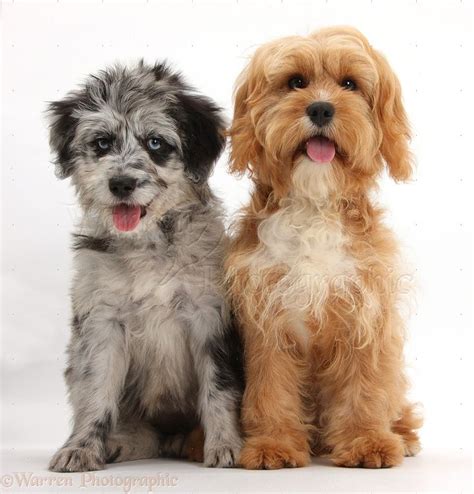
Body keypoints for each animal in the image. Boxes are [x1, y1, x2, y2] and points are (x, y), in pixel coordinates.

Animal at [46, 60, 243, 470]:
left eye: (155, 143)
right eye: (102, 143)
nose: (121, 183)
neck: (148, 245)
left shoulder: (209, 316)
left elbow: (218, 388)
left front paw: (225, 445)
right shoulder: (102, 321)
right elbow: (95, 391)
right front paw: (81, 446)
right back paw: (121, 443)